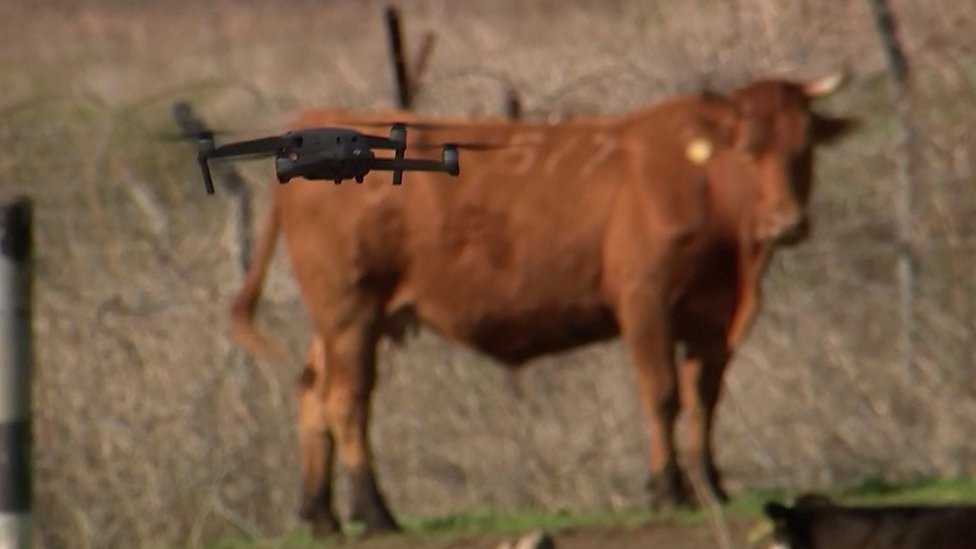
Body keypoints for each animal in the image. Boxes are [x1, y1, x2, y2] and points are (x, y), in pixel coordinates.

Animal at [227, 75, 856, 532]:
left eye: (804, 148)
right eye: (747, 151)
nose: (788, 223)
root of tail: (311, 126)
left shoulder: (712, 319)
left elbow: (703, 400)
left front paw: (711, 488)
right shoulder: (645, 302)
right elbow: (662, 395)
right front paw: (668, 490)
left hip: (339, 322)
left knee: (312, 393)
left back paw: (322, 517)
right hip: (350, 311)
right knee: (346, 403)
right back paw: (377, 514)